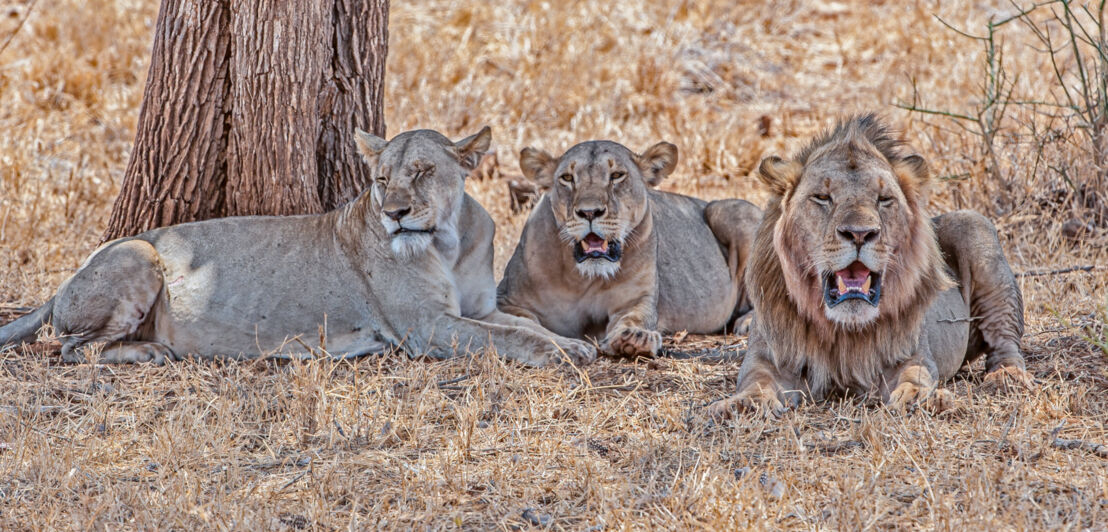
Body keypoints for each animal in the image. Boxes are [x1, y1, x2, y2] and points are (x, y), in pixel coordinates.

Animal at [0, 127, 598, 367]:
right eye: (381, 180)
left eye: (424, 172)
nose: (394, 213)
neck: (447, 242)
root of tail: (65, 282)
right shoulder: (426, 327)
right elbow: (514, 339)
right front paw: (566, 354)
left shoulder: (479, 309)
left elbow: (523, 326)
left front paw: (578, 345)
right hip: (140, 255)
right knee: (73, 349)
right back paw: (151, 352)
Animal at [496, 141, 762, 356]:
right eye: (567, 178)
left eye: (616, 175)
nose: (589, 212)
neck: (583, 279)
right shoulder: (509, 301)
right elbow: (526, 325)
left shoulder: (637, 300)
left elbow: (634, 319)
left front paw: (636, 338)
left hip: (729, 211)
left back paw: (748, 323)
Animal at [709, 115, 1028, 416]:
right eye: (822, 198)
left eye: (884, 199)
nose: (860, 234)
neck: (843, 329)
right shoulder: (767, 357)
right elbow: (756, 379)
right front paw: (745, 404)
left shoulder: (911, 354)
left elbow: (917, 374)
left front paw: (919, 399)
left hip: (975, 227)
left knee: (1005, 341)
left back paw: (1007, 377)